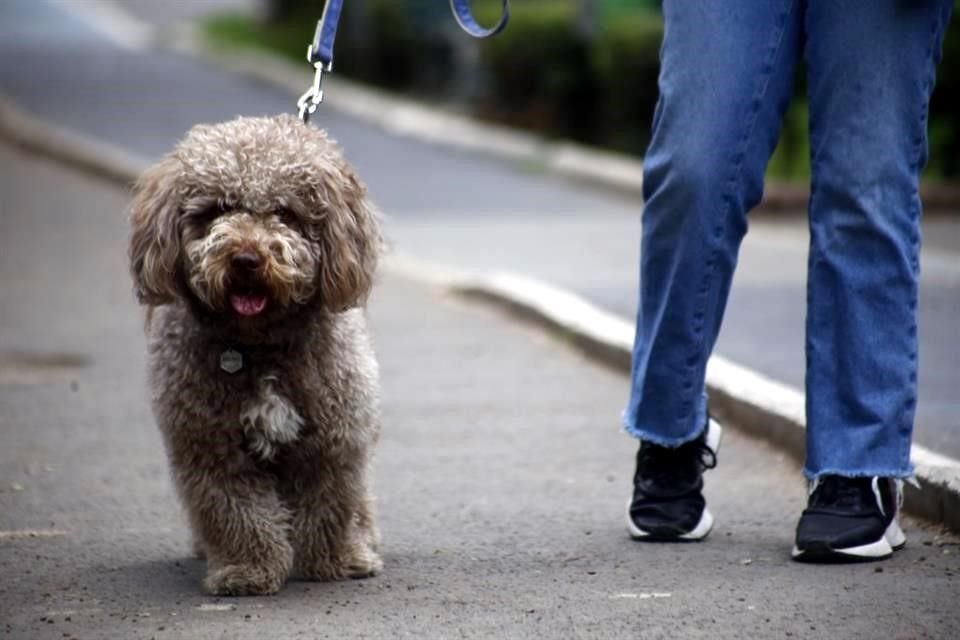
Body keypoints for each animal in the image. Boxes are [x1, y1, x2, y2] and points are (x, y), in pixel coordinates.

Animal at [127, 114, 382, 596]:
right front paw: (247, 570)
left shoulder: (333, 440)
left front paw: (334, 562)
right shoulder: (210, 447)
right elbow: (236, 513)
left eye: (285, 213)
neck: (260, 346)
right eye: (217, 211)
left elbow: (330, 504)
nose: (246, 258)